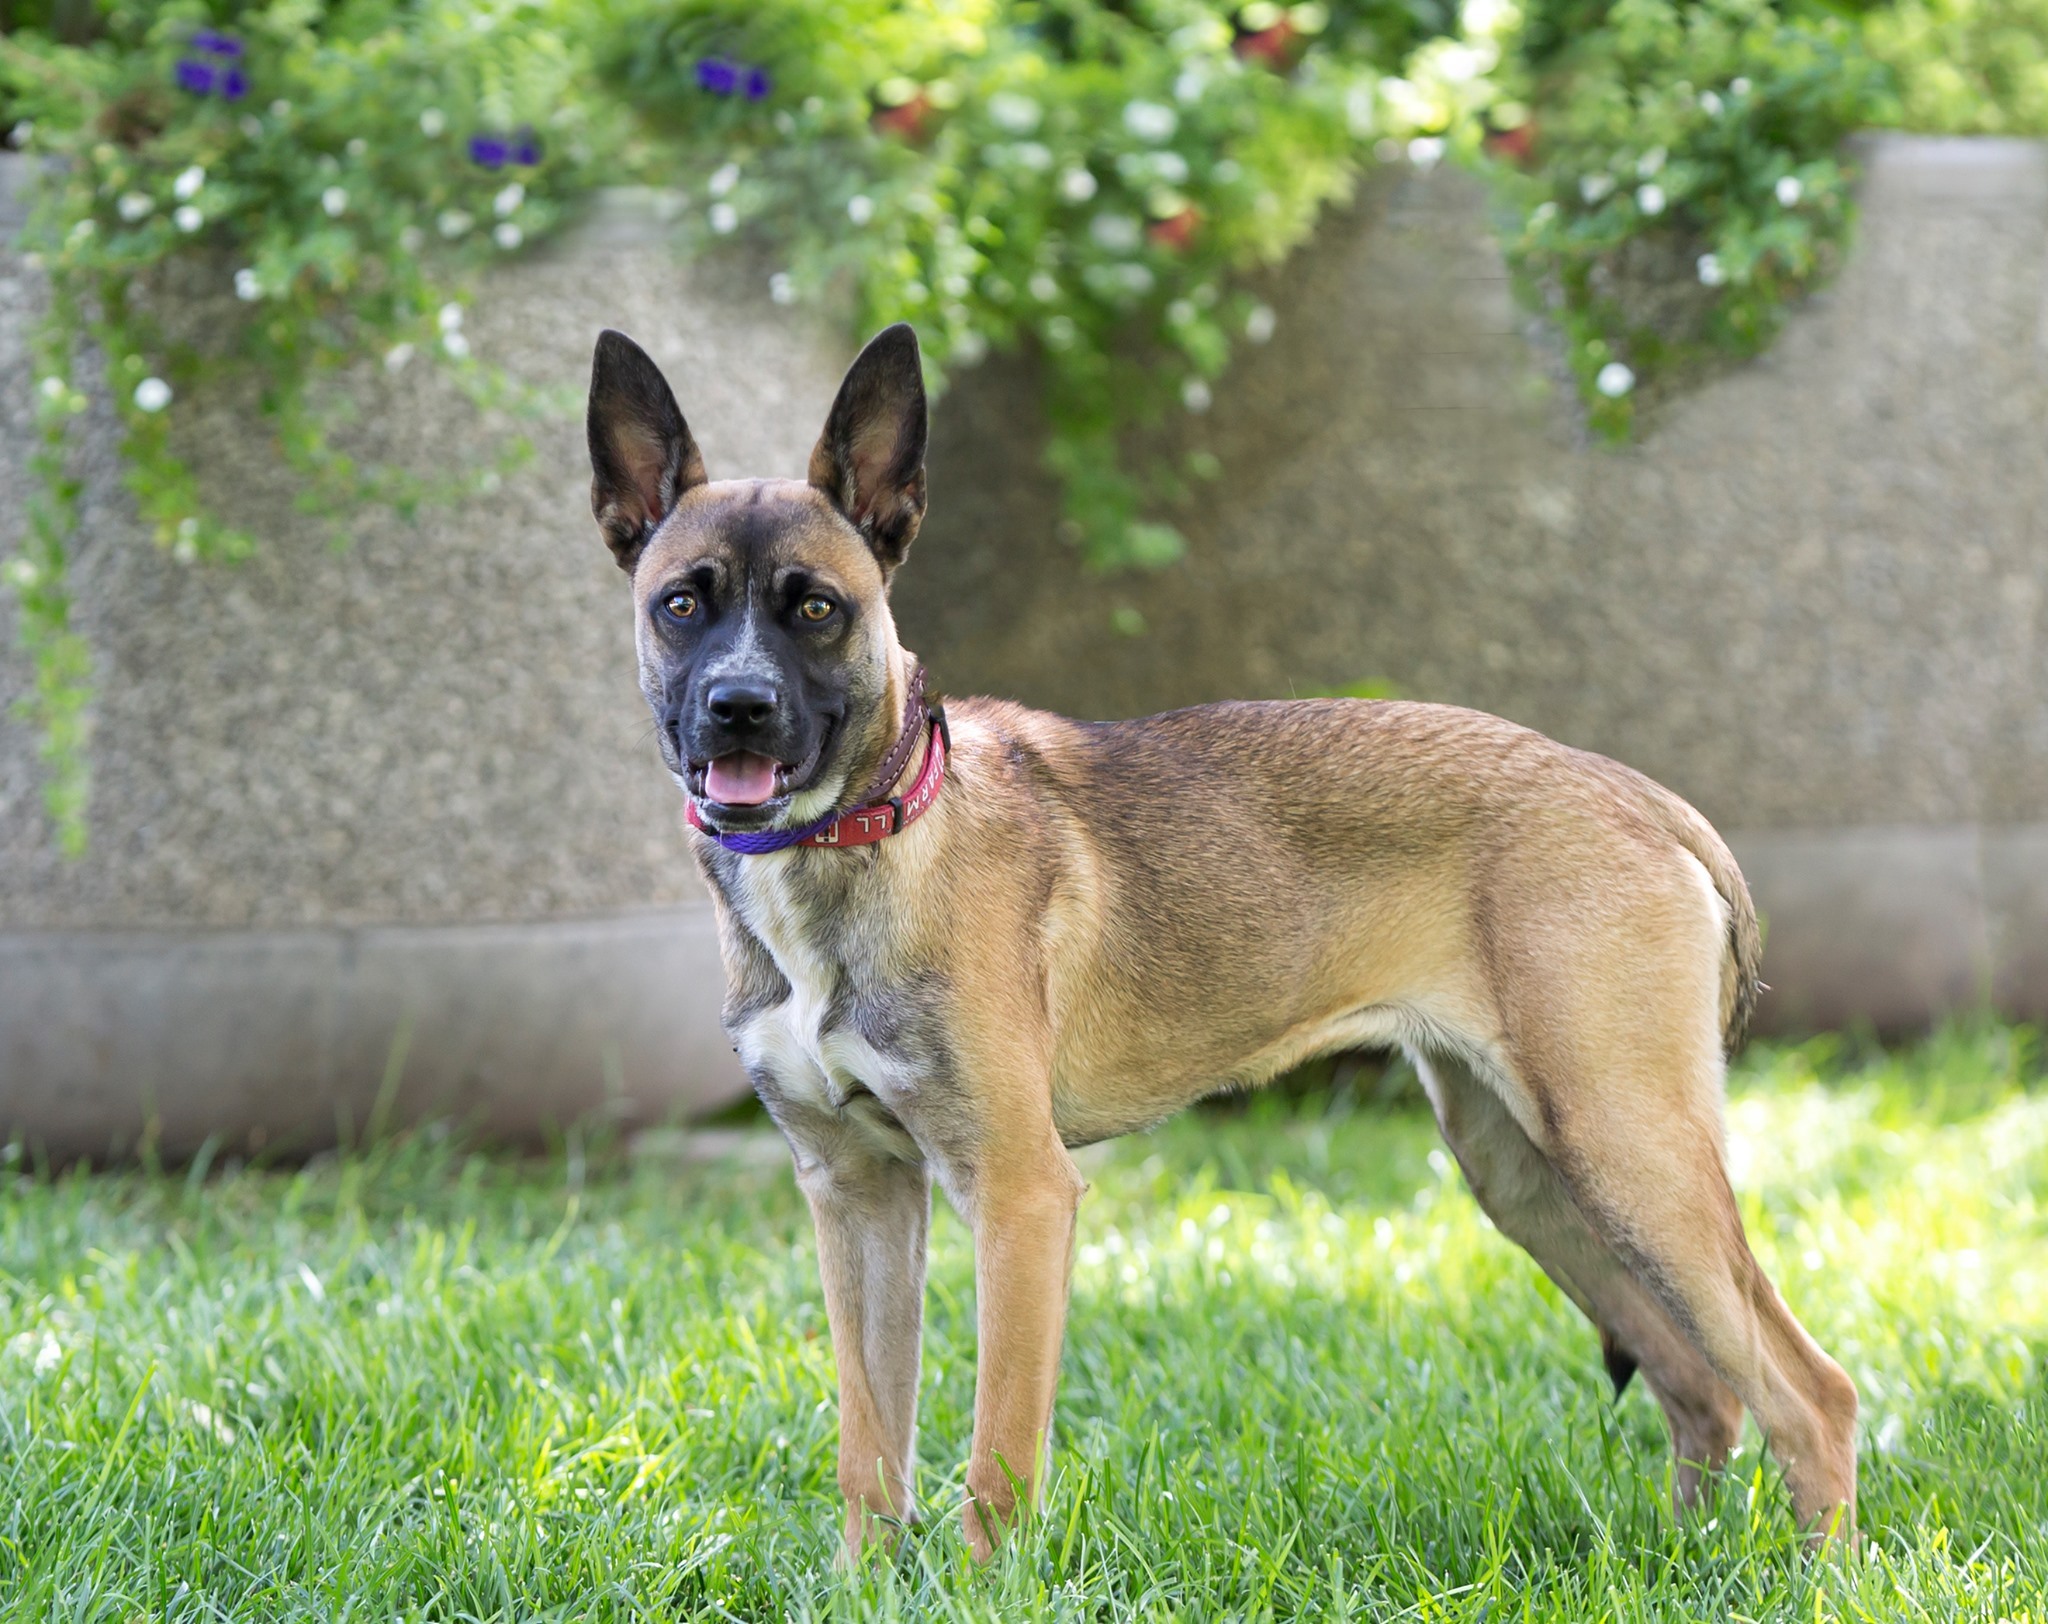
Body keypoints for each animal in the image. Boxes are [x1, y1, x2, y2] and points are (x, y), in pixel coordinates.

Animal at [589, 319, 1859, 1556]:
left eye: (815, 607)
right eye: (681, 604)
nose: (738, 709)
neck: (875, 831)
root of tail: (1634, 792)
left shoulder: (1018, 1194)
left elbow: (994, 1468)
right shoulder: (855, 1196)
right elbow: (870, 1452)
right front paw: (866, 1584)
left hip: (1625, 1152)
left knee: (1812, 1392)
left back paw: (1815, 1576)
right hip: (1532, 1176)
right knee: (1706, 1385)